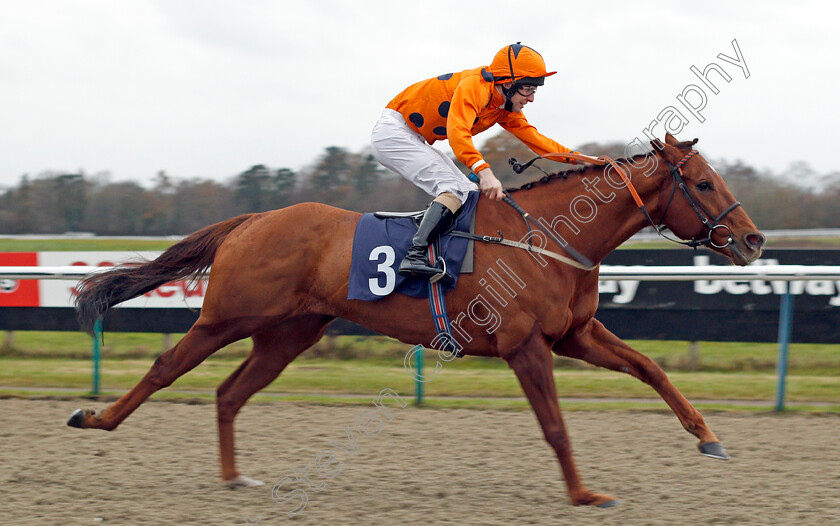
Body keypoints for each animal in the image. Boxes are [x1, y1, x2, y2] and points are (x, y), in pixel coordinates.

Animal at [67, 134, 760, 510]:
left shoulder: (575, 335)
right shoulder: (527, 346)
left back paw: (236, 477)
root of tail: (253, 219)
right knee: (166, 367)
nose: (753, 241)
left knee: (229, 392)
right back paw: (95, 417)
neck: (548, 236)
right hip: (227, 316)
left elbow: (651, 367)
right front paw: (585, 494)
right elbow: (556, 426)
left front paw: (708, 437)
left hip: (288, 335)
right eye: (703, 183)